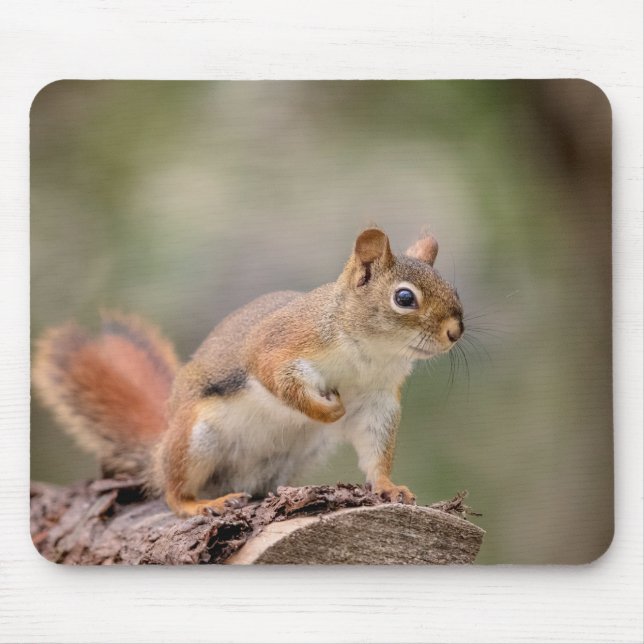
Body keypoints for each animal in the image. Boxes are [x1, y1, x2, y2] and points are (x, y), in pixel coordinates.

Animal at [33, 228, 464, 517]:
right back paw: (199, 504)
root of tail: (159, 447)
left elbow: (375, 448)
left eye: (453, 290)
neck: (371, 354)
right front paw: (327, 411)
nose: (455, 331)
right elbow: (278, 380)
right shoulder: (280, 344)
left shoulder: (378, 399)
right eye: (404, 298)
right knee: (172, 490)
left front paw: (389, 488)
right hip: (194, 439)